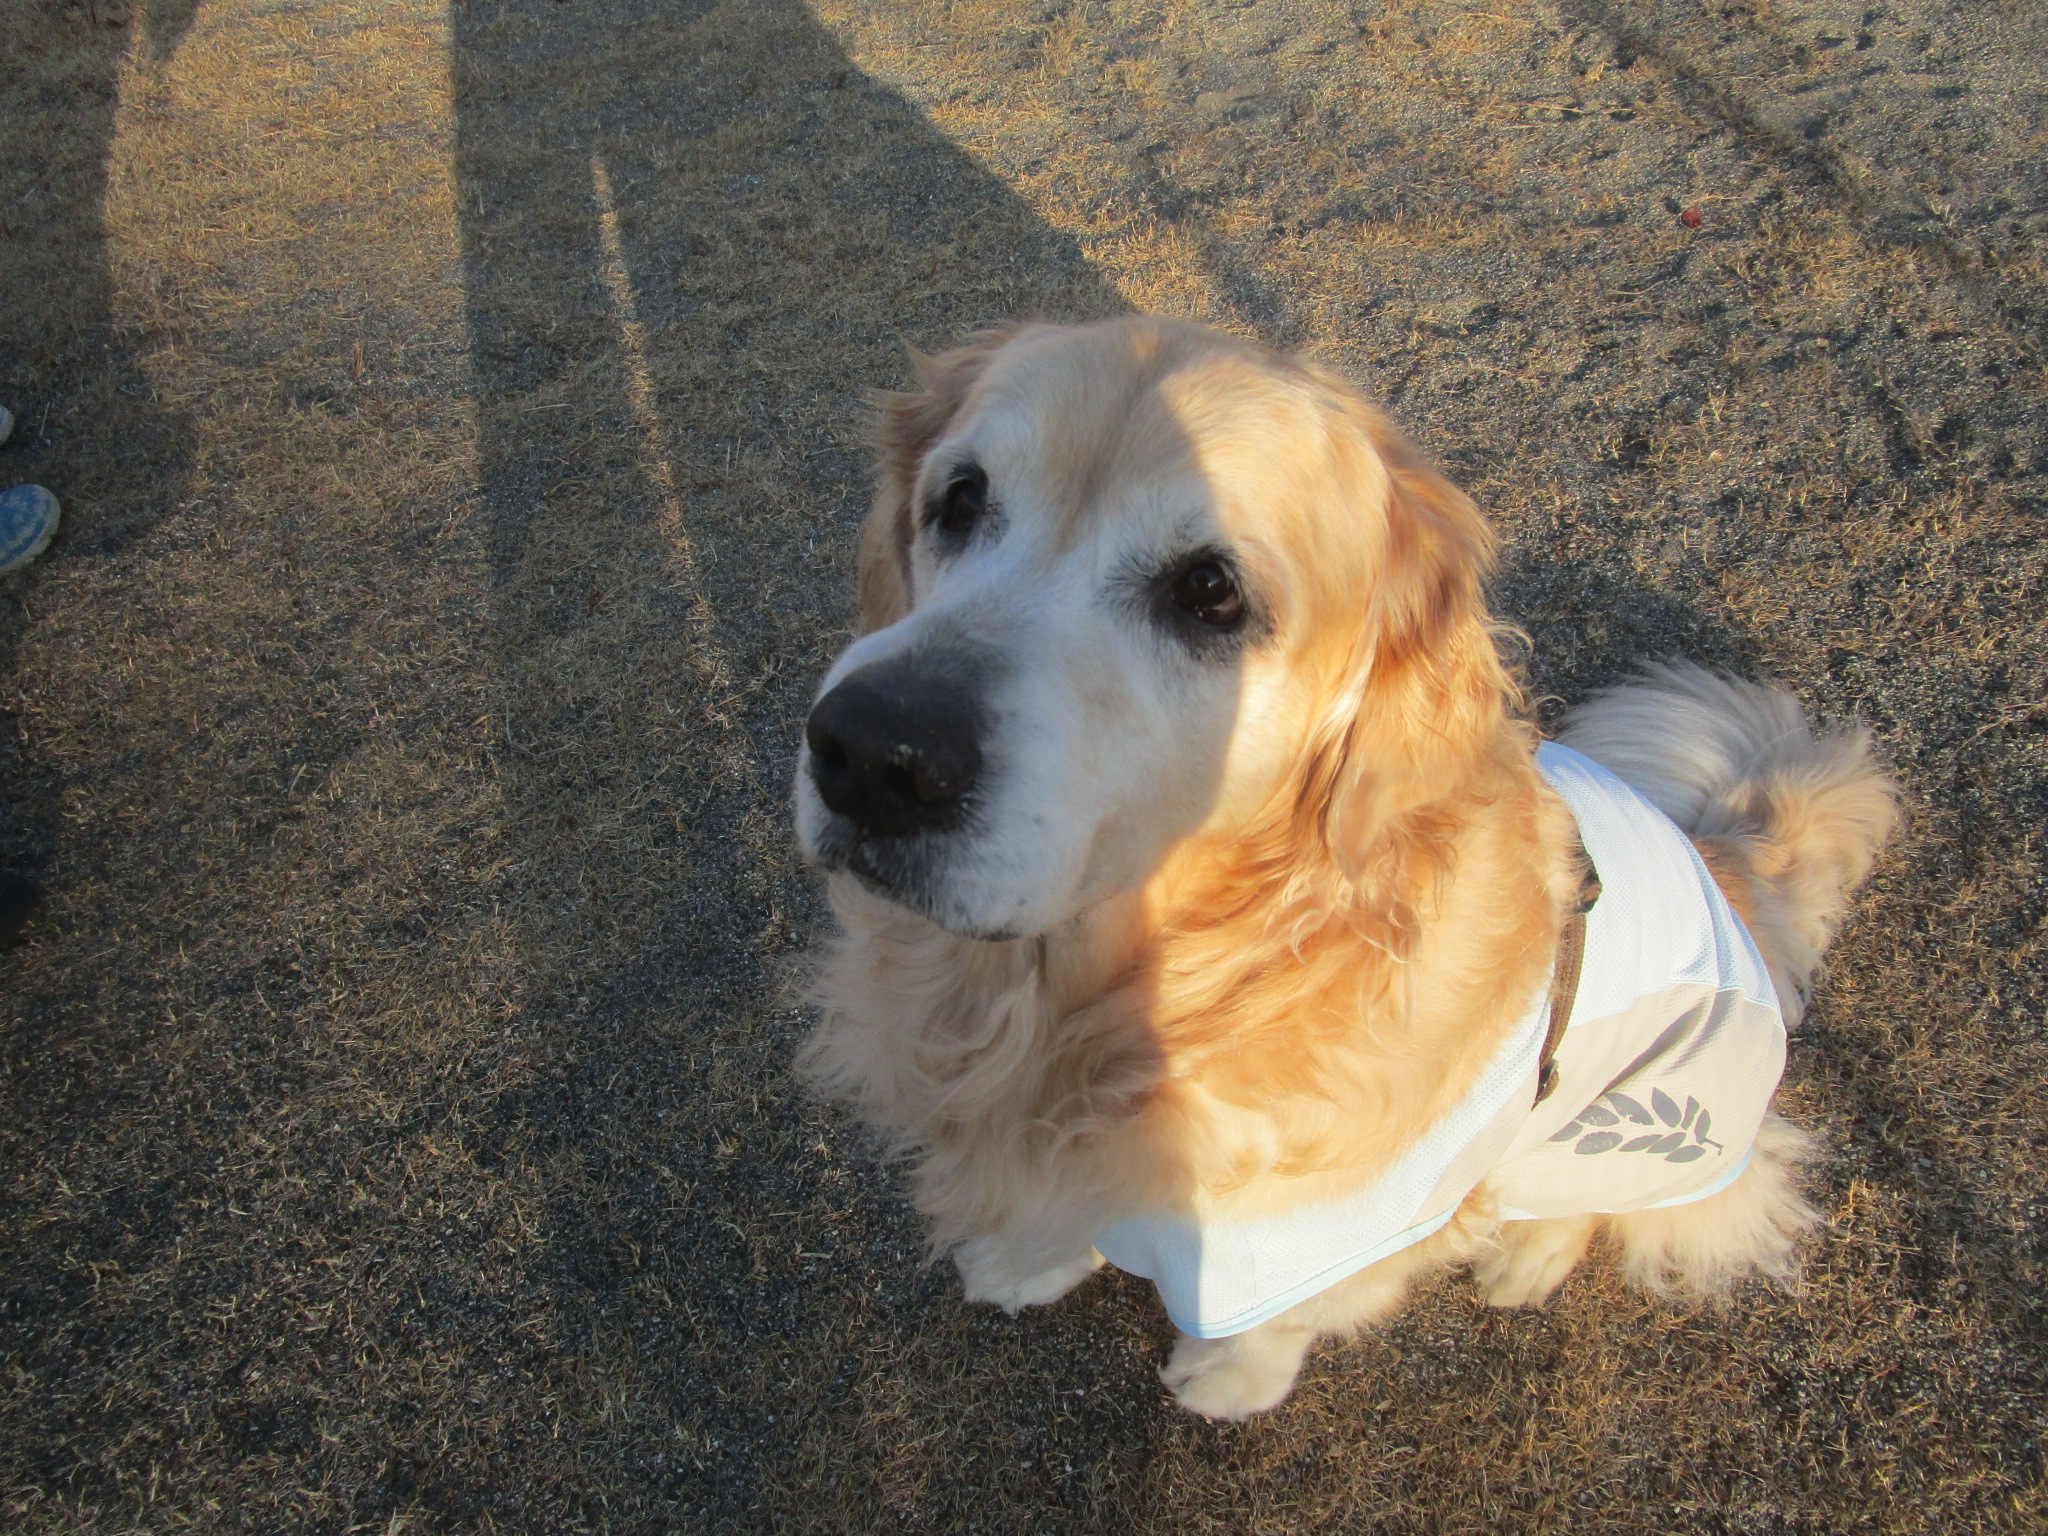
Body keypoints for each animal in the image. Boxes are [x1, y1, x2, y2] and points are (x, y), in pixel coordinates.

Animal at [792, 317, 1896, 1419]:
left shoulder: (1343, 1227)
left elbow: (1284, 1319)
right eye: (959, 499)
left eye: (1209, 591)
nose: (873, 756)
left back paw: (1528, 1255)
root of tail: (1731, 865)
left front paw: (1229, 1377)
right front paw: (1030, 1259)